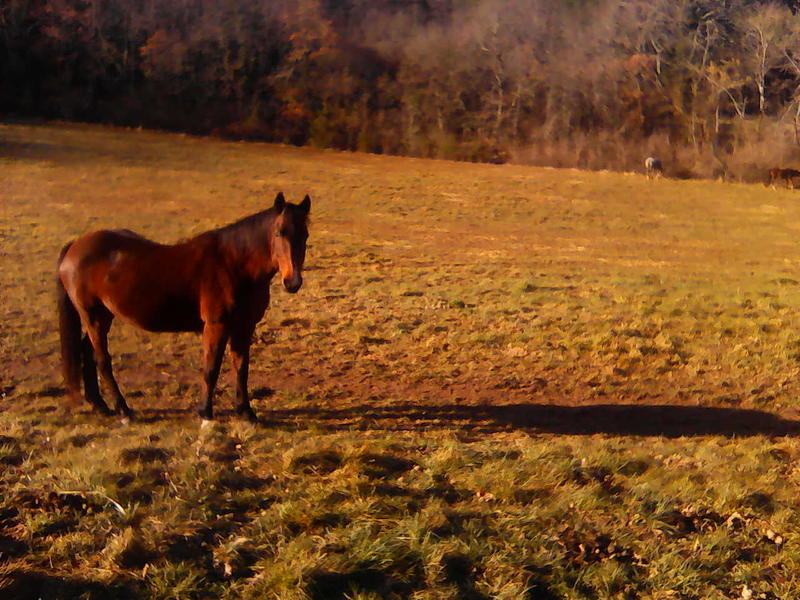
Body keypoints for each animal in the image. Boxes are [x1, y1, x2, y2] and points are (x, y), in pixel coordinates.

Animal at [56, 192, 311, 423]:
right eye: (279, 232)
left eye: (305, 234)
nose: (293, 282)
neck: (235, 264)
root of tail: (75, 246)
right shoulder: (216, 325)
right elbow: (211, 369)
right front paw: (205, 413)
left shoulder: (244, 327)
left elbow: (241, 368)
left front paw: (245, 412)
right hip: (93, 317)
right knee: (102, 361)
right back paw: (123, 411)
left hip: (103, 316)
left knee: (87, 353)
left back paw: (100, 405)